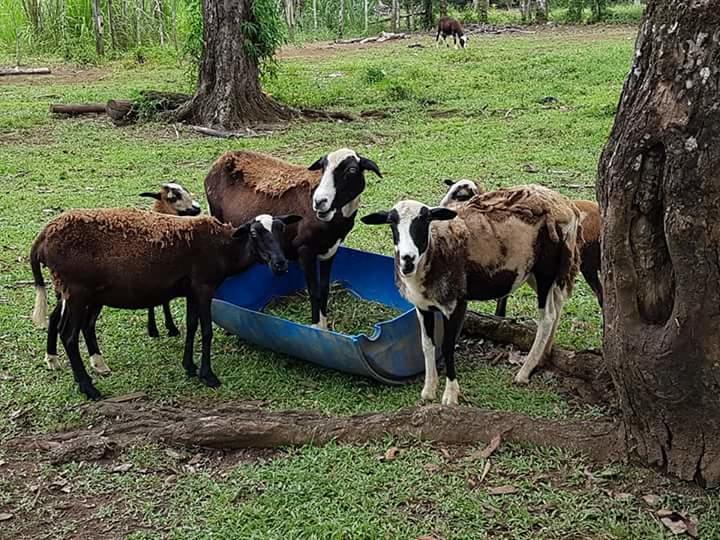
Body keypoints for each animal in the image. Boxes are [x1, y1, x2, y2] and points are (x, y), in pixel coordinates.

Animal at [202, 148, 382, 330]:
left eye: (351, 170)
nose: (319, 202)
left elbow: (324, 289)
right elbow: (313, 290)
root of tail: (224, 157)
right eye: (323, 168)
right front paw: (316, 328)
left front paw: (324, 328)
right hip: (217, 216)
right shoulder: (304, 249)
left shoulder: (330, 250)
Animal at [362, 186, 584, 404]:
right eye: (392, 223)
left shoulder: (457, 303)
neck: (434, 250)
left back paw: (524, 371)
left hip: (546, 269)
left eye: (425, 220)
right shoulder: (423, 307)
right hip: (534, 273)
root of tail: (566, 205)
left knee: (547, 317)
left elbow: (448, 347)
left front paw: (450, 395)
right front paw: (428, 390)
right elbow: (426, 345)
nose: (407, 259)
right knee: (557, 307)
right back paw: (544, 355)